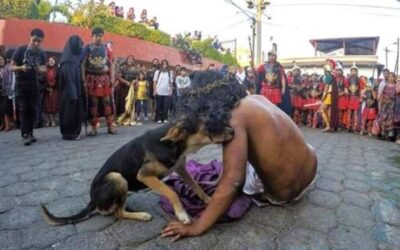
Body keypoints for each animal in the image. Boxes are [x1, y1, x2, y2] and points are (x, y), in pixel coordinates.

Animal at [40, 120, 234, 226]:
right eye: (210, 125)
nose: (233, 131)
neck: (173, 144)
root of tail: (92, 200)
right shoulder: (144, 175)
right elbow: (171, 192)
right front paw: (182, 215)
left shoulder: (180, 168)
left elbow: (196, 186)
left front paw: (208, 199)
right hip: (117, 178)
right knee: (116, 213)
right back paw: (141, 215)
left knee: (117, 208)